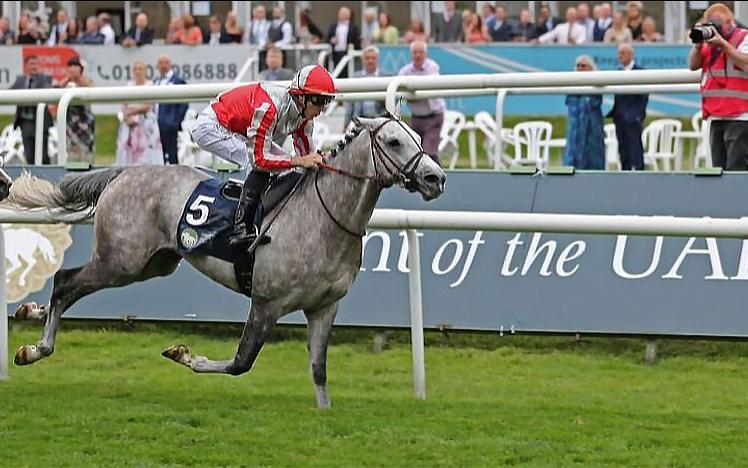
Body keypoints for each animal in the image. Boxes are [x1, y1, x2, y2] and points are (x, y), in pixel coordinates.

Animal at [5, 115, 448, 408]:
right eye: (393, 141)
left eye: (415, 136)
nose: (436, 178)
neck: (324, 217)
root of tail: (123, 174)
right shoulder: (267, 302)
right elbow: (240, 362)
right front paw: (183, 355)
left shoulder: (325, 307)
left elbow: (319, 370)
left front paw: (325, 414)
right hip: (121, 260)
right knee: (66, 281)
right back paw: (35, 349)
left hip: (153, 263)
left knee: (70, 287)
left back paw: (32, 311)